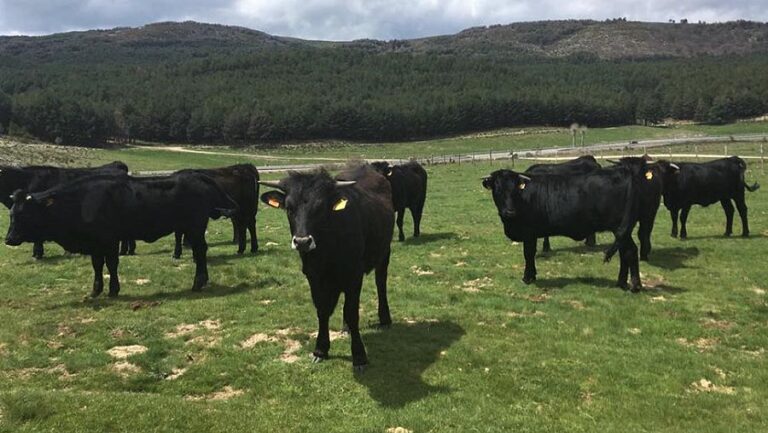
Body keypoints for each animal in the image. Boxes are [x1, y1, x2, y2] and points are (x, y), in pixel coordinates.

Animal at [3, 172, 237, 296]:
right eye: (12, 213)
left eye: (25, 214)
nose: (9, 239)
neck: (81, 202)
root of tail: (195, 175)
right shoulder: (95, 243)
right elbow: (98, 265)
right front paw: (96, 290)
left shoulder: (109, 239)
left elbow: (111, 264)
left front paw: (113, 289)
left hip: (195, 228)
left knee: (200, 251)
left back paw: (197, 283)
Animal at [262, 164, 396, 370]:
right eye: (289, 208)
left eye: (319, 208)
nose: (302, 241)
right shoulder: (313, 276)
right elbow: (322, 310)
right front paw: (320, 350)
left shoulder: (353, 274)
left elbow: (352, 312)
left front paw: (359, 356)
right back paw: (345, 328)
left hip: (384, 253)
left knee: (381, 284)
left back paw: (385, 319)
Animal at [480, 158, 656, 290]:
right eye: (498, 190)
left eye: (515, 190)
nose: (509, 212)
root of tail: (622, 172)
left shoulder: (529, 233)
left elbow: (528, 254)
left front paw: (528, 278)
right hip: (621, 230)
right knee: (625, 252)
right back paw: (621, 283)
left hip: (619, 226)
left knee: (630, 251)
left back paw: (635, 285)